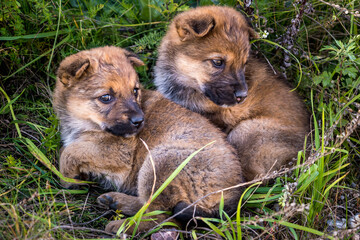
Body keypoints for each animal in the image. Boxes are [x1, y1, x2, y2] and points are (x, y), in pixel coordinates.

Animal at [52, 46, 245, 232]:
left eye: (135, 91)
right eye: (106, 97)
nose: (139, 121)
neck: (84, 124)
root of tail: (232, 197)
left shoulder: (117, 154)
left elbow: (70, 152)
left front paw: (68, 180)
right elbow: (67, 148)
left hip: (159, 163)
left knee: (161, 218)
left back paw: (122, 225)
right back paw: (116, 201)